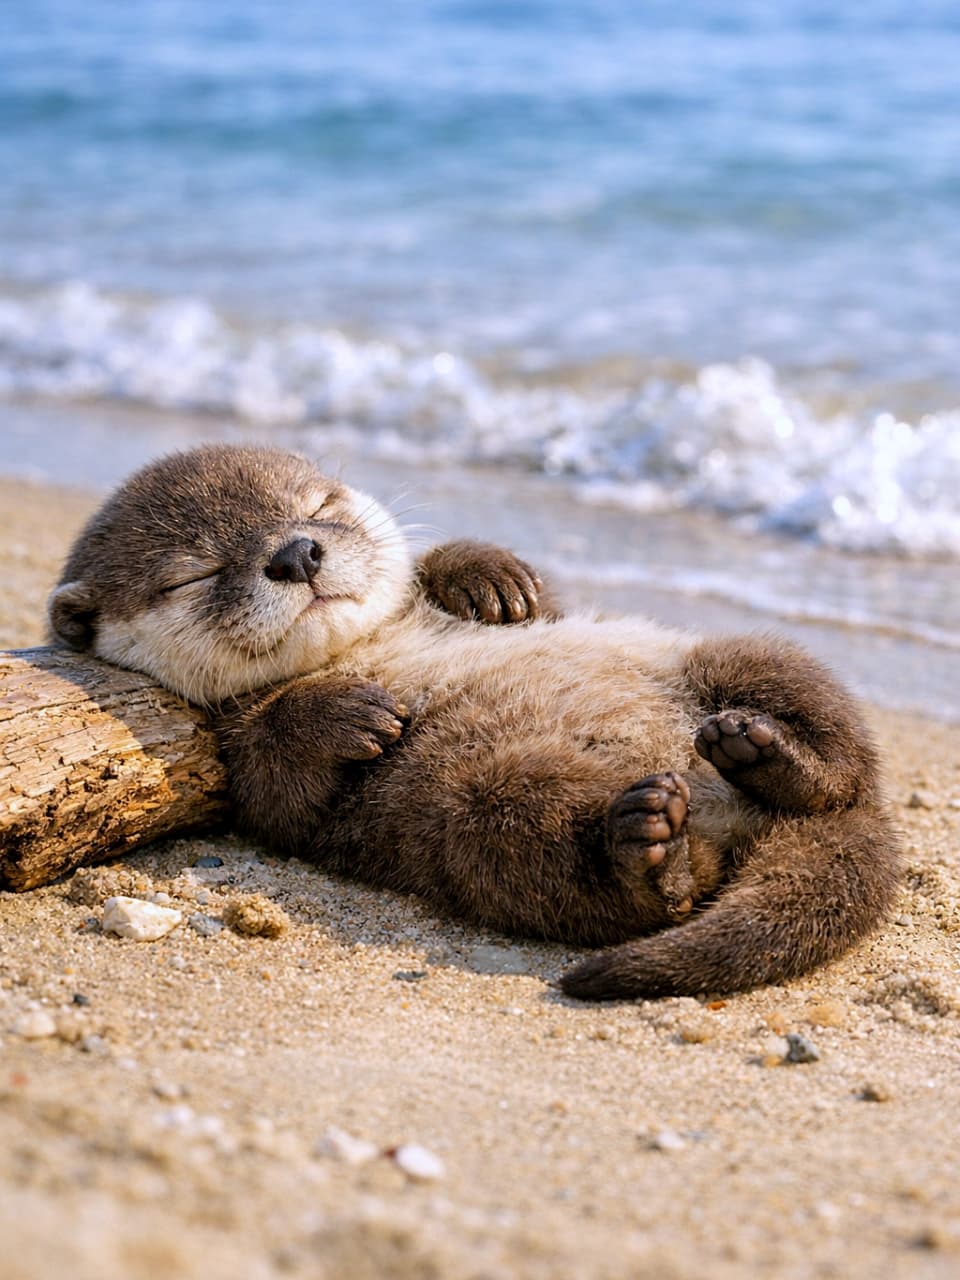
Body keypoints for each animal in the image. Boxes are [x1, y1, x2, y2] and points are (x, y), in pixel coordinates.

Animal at [49, 444, 901, 999]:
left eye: (317, 505)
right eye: (193, 574)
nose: (296, 553)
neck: (368, 647)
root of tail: (737, 818)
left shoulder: (556, 608)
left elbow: (539, 599)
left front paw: (485, 574)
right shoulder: (227, 758)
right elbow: (276, 785)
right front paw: (343, 712)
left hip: (731, 656)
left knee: (846, 759)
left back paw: (769, 755)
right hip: (475, 811)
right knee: (566, 864)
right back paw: (649, 845)